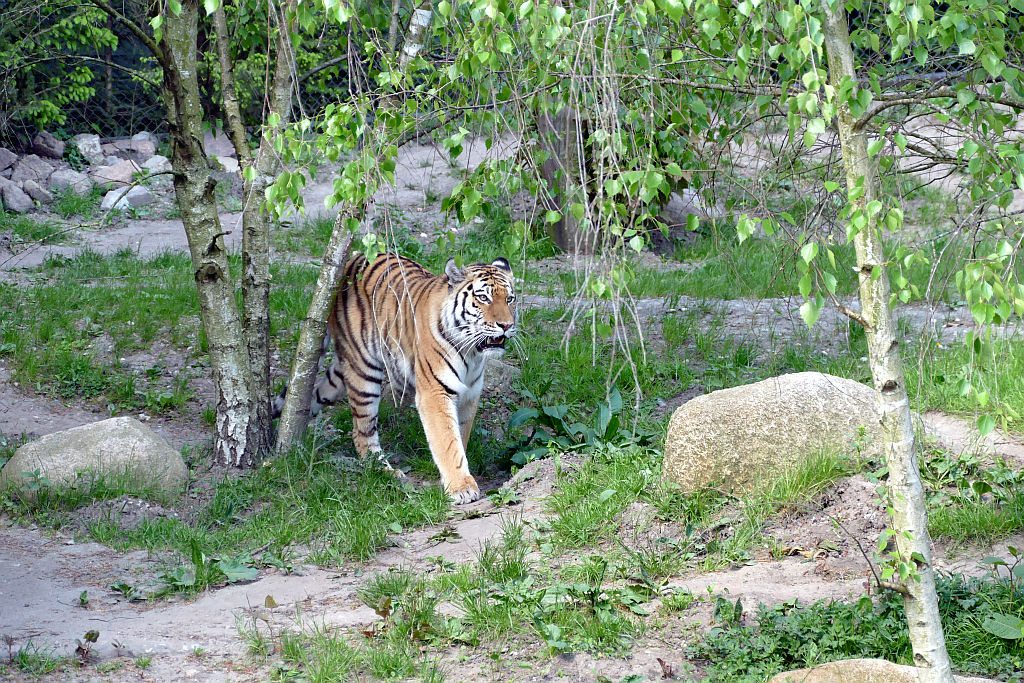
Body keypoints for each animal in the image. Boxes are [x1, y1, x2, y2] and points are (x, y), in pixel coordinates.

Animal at [272, 253, 516, 505]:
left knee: (311, 397)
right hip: (364, 372)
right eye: (483, 298)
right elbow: (448, 442)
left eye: (509, 299)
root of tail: (352, 259)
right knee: (362, 431)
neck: (472, 353)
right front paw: (461, 487)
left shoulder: (470, 395)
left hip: (341, 373)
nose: (506, 325)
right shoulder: (434, 393)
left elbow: (460, 435)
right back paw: (386, 471)